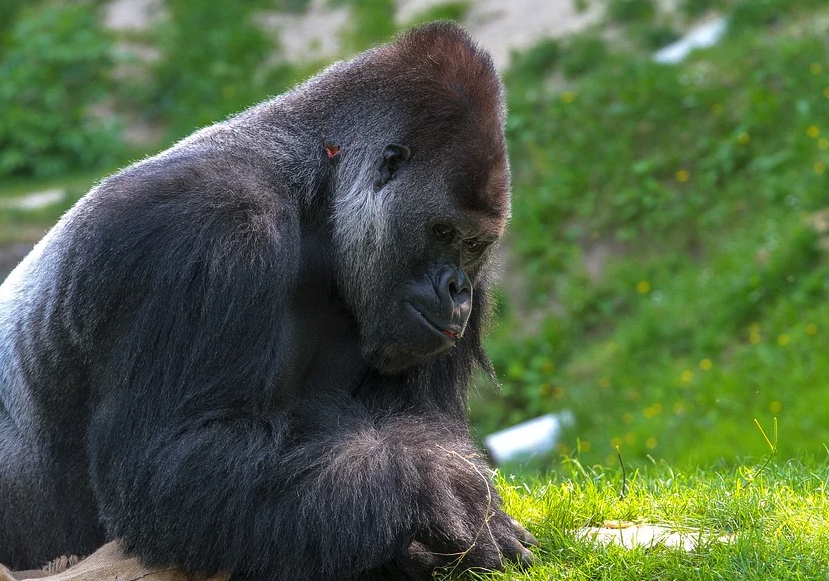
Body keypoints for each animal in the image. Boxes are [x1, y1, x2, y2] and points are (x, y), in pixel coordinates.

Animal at [0, 21, 532, 576]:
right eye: (443, 231)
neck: (316, 196)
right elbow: (168, 462)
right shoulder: (207, 229)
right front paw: (432, 487)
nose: (457, 289)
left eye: (474, 245)